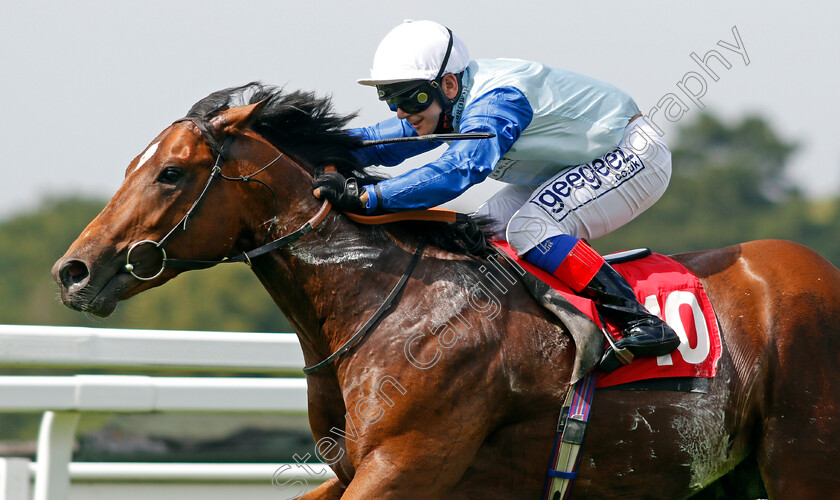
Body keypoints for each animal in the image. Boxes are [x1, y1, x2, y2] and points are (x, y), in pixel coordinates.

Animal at [54, 84, 840, 498]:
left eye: (171, 174)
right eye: (134, 165)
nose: (74, 271)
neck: (384, 304)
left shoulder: (408, 463)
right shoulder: (359, 470)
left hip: (801, 459)